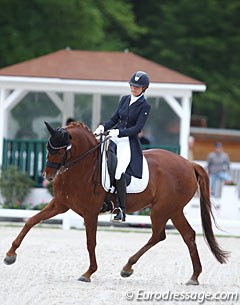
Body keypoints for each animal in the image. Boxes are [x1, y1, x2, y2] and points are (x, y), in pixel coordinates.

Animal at [4, 120, 229, 282]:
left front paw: (88, 273)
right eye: (47, 147)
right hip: (174, 210)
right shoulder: (60, 205)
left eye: (60, 150)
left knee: (159, 235)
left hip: (161, 210)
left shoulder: (90, 212)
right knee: (188, 235)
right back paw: (194, 276)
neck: (82, 167)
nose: (48, 175)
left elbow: (91, 242)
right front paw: (10, 255)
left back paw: (128, 267)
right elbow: (31, 221)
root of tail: (190, 164)